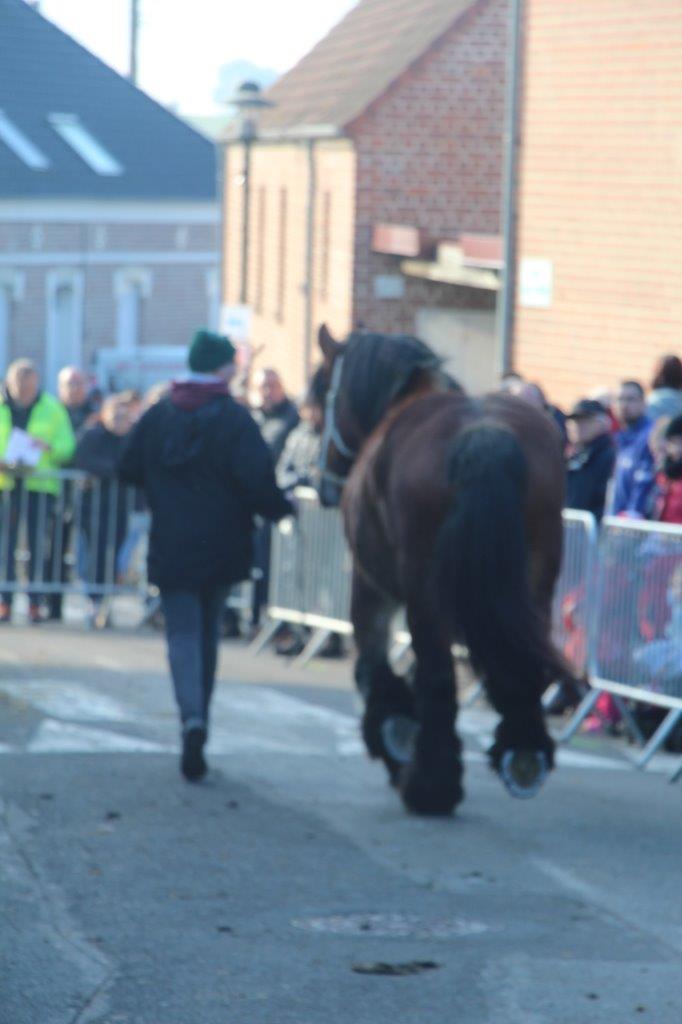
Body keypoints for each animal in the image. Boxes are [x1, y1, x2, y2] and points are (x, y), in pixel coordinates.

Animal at [315, 323, 565, 819]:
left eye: (321, 392)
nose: (324, 484)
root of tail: (484, 436)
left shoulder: (370, 585)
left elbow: (373, 665)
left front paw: (393, 732)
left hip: (425, 594)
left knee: (437, 677)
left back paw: (429, 785)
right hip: (535, 582)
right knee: (521, 661)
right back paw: (523, 751)